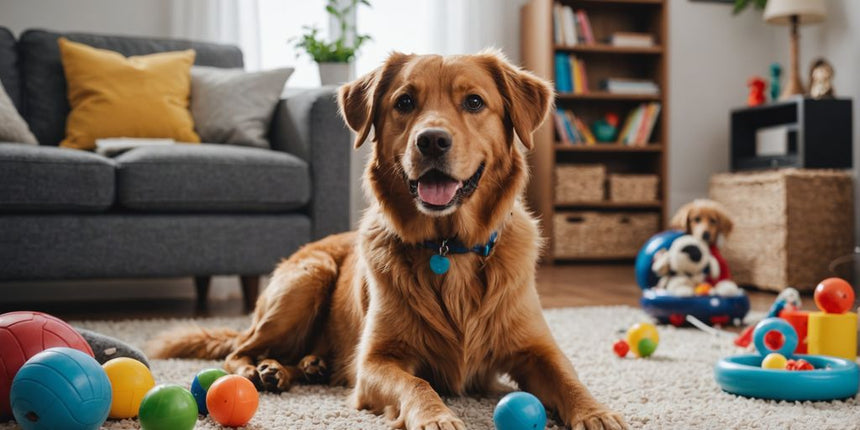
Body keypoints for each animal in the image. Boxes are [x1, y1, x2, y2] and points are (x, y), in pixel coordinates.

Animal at [149, 51, 624, 430]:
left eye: (474, 102)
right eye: (405, 102)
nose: (432, 140)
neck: (448, 249)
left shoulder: (535, 349)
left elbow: (569, 378)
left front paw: (597, 413)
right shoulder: (377, 361)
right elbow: (416, 383)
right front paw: (436, 417)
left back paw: (304, 366)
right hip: (307, 277)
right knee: (240, 349)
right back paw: (261, 370)